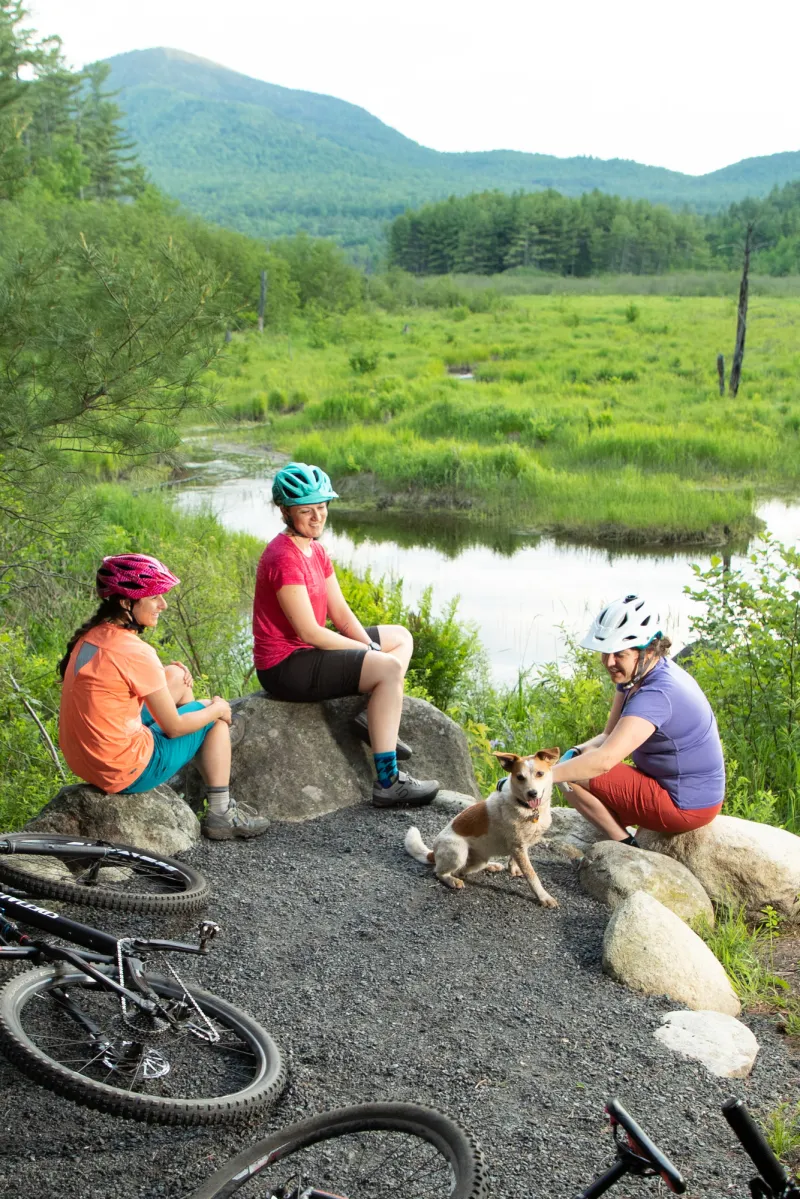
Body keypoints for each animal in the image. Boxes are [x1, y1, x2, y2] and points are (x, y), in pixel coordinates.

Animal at [402, 748, 561, 906]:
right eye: (520, 777)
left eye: (540, 773)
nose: (532, 793)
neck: (526, 807)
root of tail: (433, 852)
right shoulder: (518, 847)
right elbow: (532, 876)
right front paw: (543, 897)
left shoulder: (519, 846)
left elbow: (515, 861)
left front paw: (514, 868)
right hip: (458, 852)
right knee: (440, 872)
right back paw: (452, 880)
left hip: (479, 859)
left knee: (462, 870)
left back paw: (491, 865)